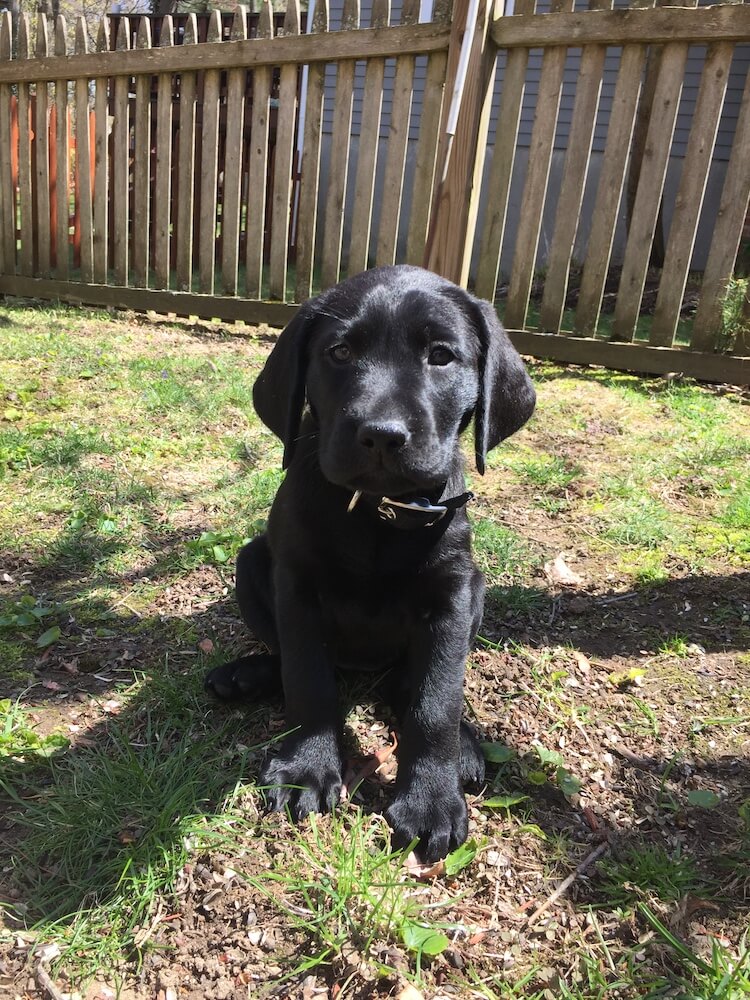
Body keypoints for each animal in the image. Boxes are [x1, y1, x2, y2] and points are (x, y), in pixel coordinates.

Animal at [206, 264, 536, 860]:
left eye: (441, 356)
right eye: (338, 352)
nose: (382, 436)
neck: (377, 513)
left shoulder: (451, 597)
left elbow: (437, 700)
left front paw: (430, 801)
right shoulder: (297, 585)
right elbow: (308, 678)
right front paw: (306, 769)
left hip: (476, 589)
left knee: (410, 684)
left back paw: (463, 747)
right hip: (251, 563)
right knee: (294, 660)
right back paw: (246, 676)